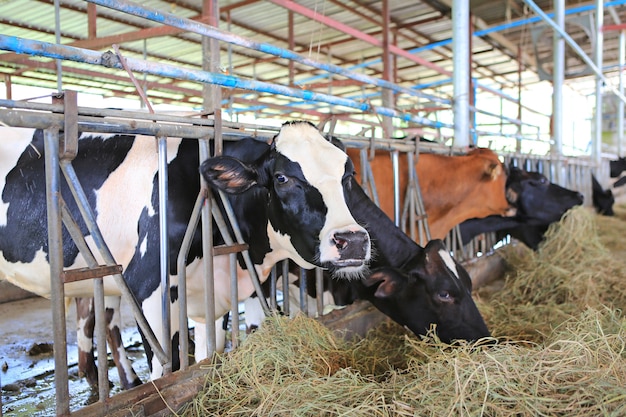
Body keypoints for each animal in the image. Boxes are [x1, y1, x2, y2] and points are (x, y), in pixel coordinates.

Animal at [0, 120, 370, 384]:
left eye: (347, 175)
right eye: (281, 178)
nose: (353, 240)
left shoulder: (235, 286)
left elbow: (221, 347)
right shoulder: (146, 285)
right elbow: (171, 366)